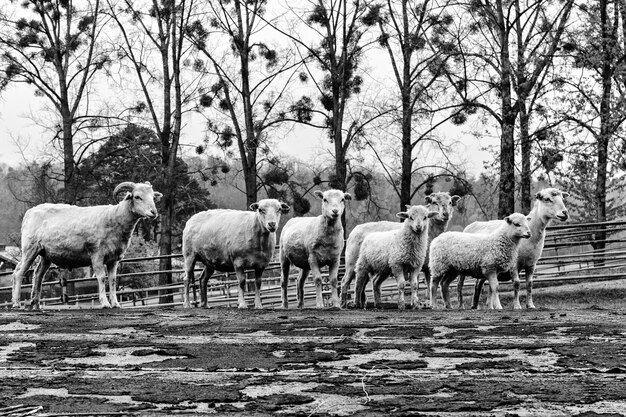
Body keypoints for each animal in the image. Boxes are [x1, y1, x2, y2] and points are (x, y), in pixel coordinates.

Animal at [11, 180, 161, 308]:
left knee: (38, 275)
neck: (114, 218)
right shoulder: (97, 255)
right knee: (19, 272)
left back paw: (35, 303)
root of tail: (30, 212)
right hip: (30, 248)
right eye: (137, 197)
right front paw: (105, 303)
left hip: (45, 254)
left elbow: (112, 280)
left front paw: (115, 304)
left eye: (153, 197)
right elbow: (102, 278)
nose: (154, 212)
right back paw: (16, 303)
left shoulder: (114, 259)